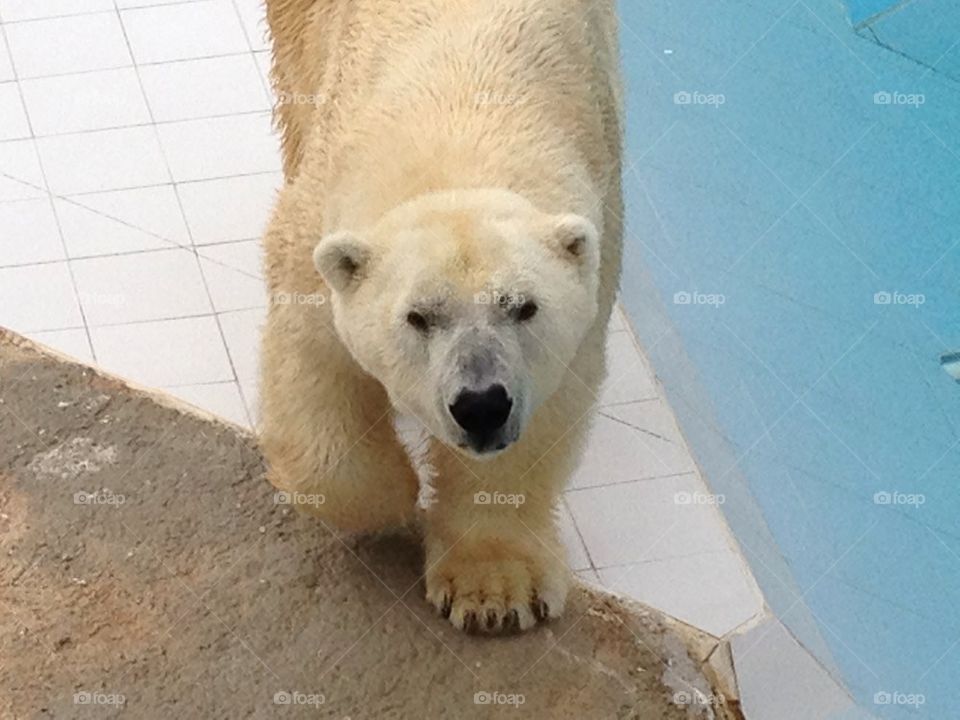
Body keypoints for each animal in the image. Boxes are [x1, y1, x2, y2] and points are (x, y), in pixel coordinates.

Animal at [260, 0, 624, 632]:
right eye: (418, 316)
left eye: (523, 307)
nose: (481, 405)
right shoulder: (315, 227)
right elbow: (315, 364)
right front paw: (394, 499)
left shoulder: (599, 252)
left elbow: (544, 414)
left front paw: (495, 591)